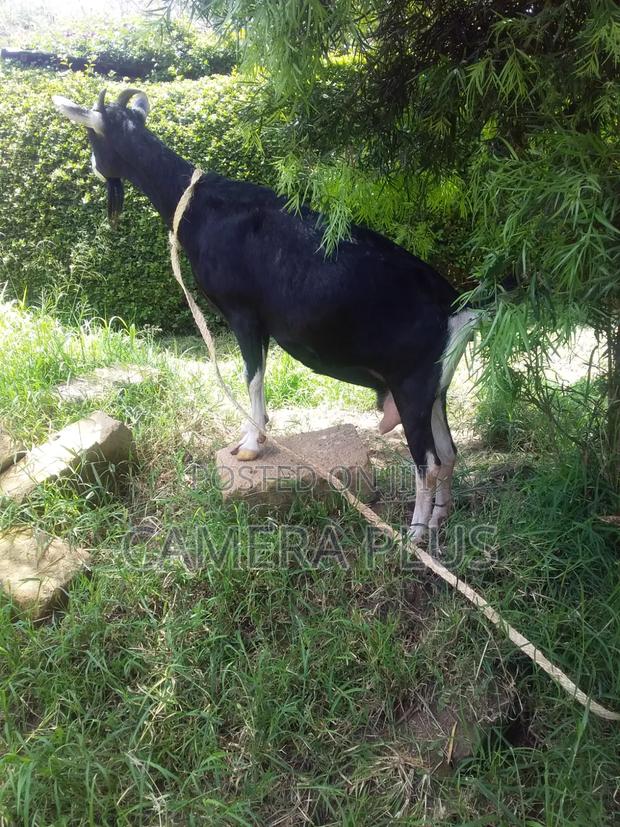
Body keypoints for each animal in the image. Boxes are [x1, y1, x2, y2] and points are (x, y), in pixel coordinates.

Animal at [53, 88, 478, 541]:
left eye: (91, 136)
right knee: (449, 452)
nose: (92, 166)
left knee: (428, 462)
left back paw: (415, 534)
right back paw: (440, 516)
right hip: (434, 388)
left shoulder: (243, 314)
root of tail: (455, 310)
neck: (200, 206)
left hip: (411, 386)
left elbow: (251, 377)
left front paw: (250, 446)